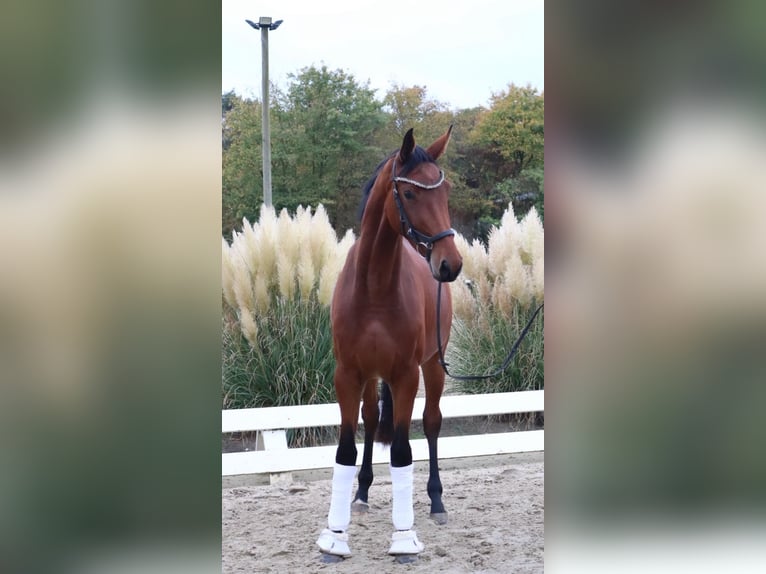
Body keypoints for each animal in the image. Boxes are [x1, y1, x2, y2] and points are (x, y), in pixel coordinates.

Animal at [316, 126, 463, 559]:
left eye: (445, 192)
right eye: (410, 194)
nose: (450, 263)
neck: (375, 288)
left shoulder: (405, 376)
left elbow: (401, 451)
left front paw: (403, 537)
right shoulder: (348, 375)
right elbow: (346, 449)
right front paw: (335, 536)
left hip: (433, 367)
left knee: (431, 424)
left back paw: (436, 501)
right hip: (370, 378)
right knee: (369, 420)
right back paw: (362, 494)